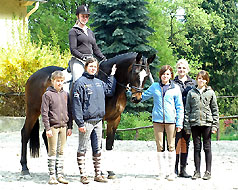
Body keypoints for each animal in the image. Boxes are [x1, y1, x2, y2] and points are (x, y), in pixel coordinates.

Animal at [20, 51, 154, 174]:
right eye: (135, 72)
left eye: (146, 76)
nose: (137, 98)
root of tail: (33, 76)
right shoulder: (99, 119)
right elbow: (98, 145)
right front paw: (100, 171)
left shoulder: (114, 119)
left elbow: (109, 145)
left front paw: (109, 171)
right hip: (33, 110)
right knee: (25, 133)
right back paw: (25, 167)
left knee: (46, 135)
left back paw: (55, 167)